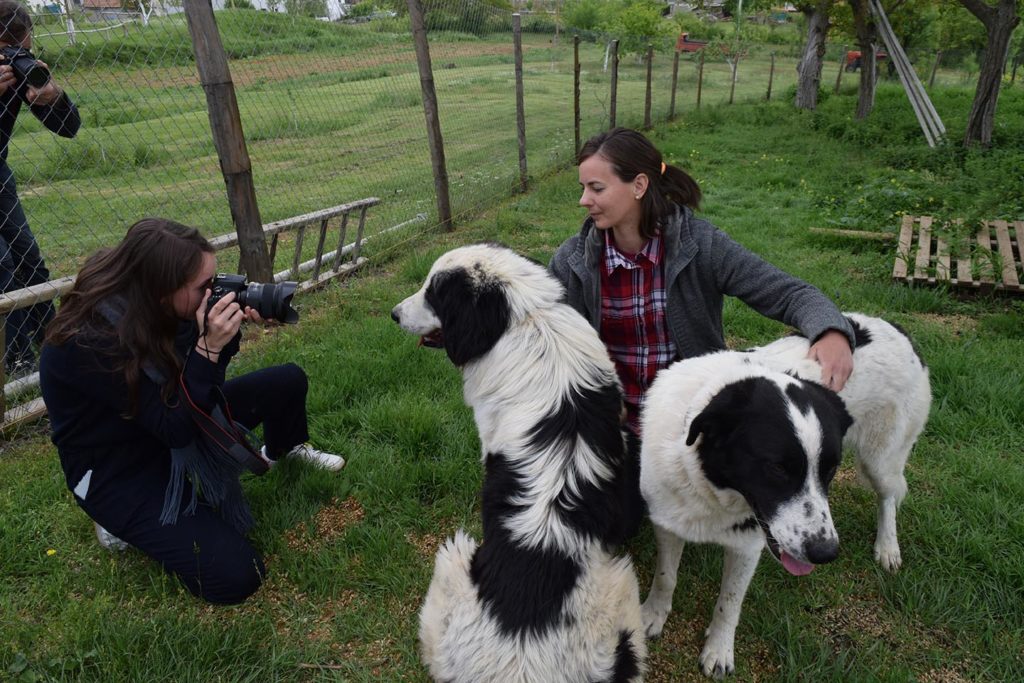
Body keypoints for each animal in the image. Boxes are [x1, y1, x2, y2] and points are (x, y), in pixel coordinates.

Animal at [643, 315, 933, 679]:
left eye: (831, 469)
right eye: (777, 468)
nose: (826, 553)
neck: (709, 483)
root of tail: (896, 327)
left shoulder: (747, 544)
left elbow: (729, 602)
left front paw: (719, 650)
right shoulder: (668, 522)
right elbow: (665, 577)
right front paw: (652, 615)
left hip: (880, 459)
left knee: (889, 497)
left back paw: (887, 546)